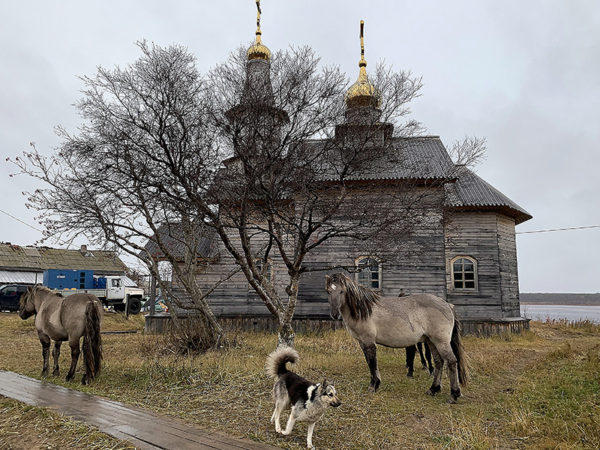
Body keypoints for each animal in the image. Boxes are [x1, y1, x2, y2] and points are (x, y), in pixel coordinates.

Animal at [324, 272, 468, 402]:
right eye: (328, 291)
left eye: (342, 291)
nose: (335, 314)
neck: (363, 310)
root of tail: (447, 305)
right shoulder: (362, 342)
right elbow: (370, 362)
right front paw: (376, 384)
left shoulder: (368, 341)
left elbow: (372, 363)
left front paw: (373, 386)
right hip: (431, 341)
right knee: (439, 362)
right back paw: (433, 389)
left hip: (441, 342)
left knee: (451, 361)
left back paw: (454, 394)